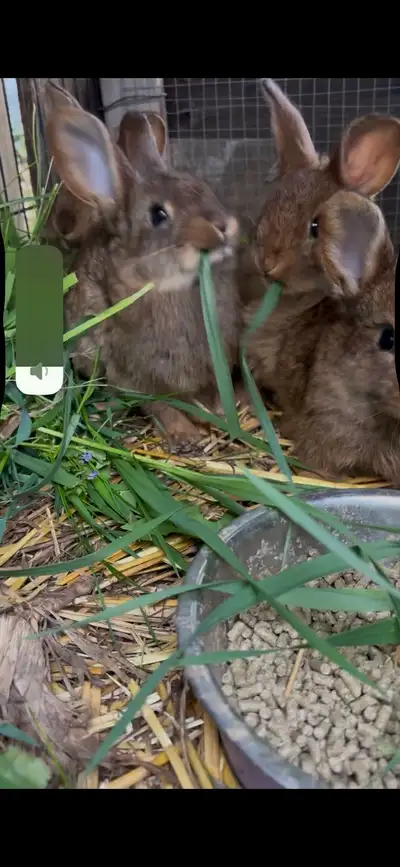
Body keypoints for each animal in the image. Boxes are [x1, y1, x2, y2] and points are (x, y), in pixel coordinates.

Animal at [42, 80, 242, 446]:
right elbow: (158, 405)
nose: (223, 227)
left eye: (201, 186)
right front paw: (185, 435)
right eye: (158, 214)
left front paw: (220, 416)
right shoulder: (134, 375)